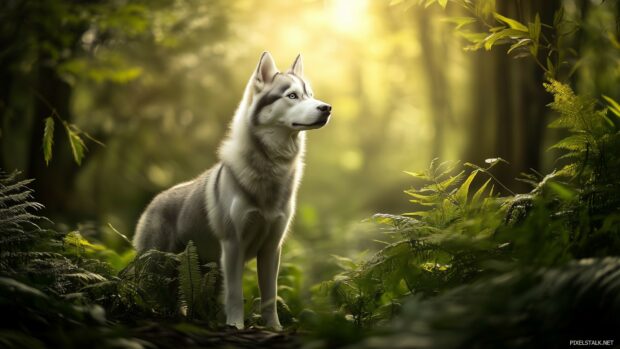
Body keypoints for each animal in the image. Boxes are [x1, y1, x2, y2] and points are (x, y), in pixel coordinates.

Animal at [133, 50, 332, 328]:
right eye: (292, 95)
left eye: (311, 95)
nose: (327, 108)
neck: (271, 170)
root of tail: (155, 199)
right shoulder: (232, 245)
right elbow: (236, 294)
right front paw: (235, 326)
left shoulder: (272, 248)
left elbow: (270, 296)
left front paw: (274, 328)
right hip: (159, 265)